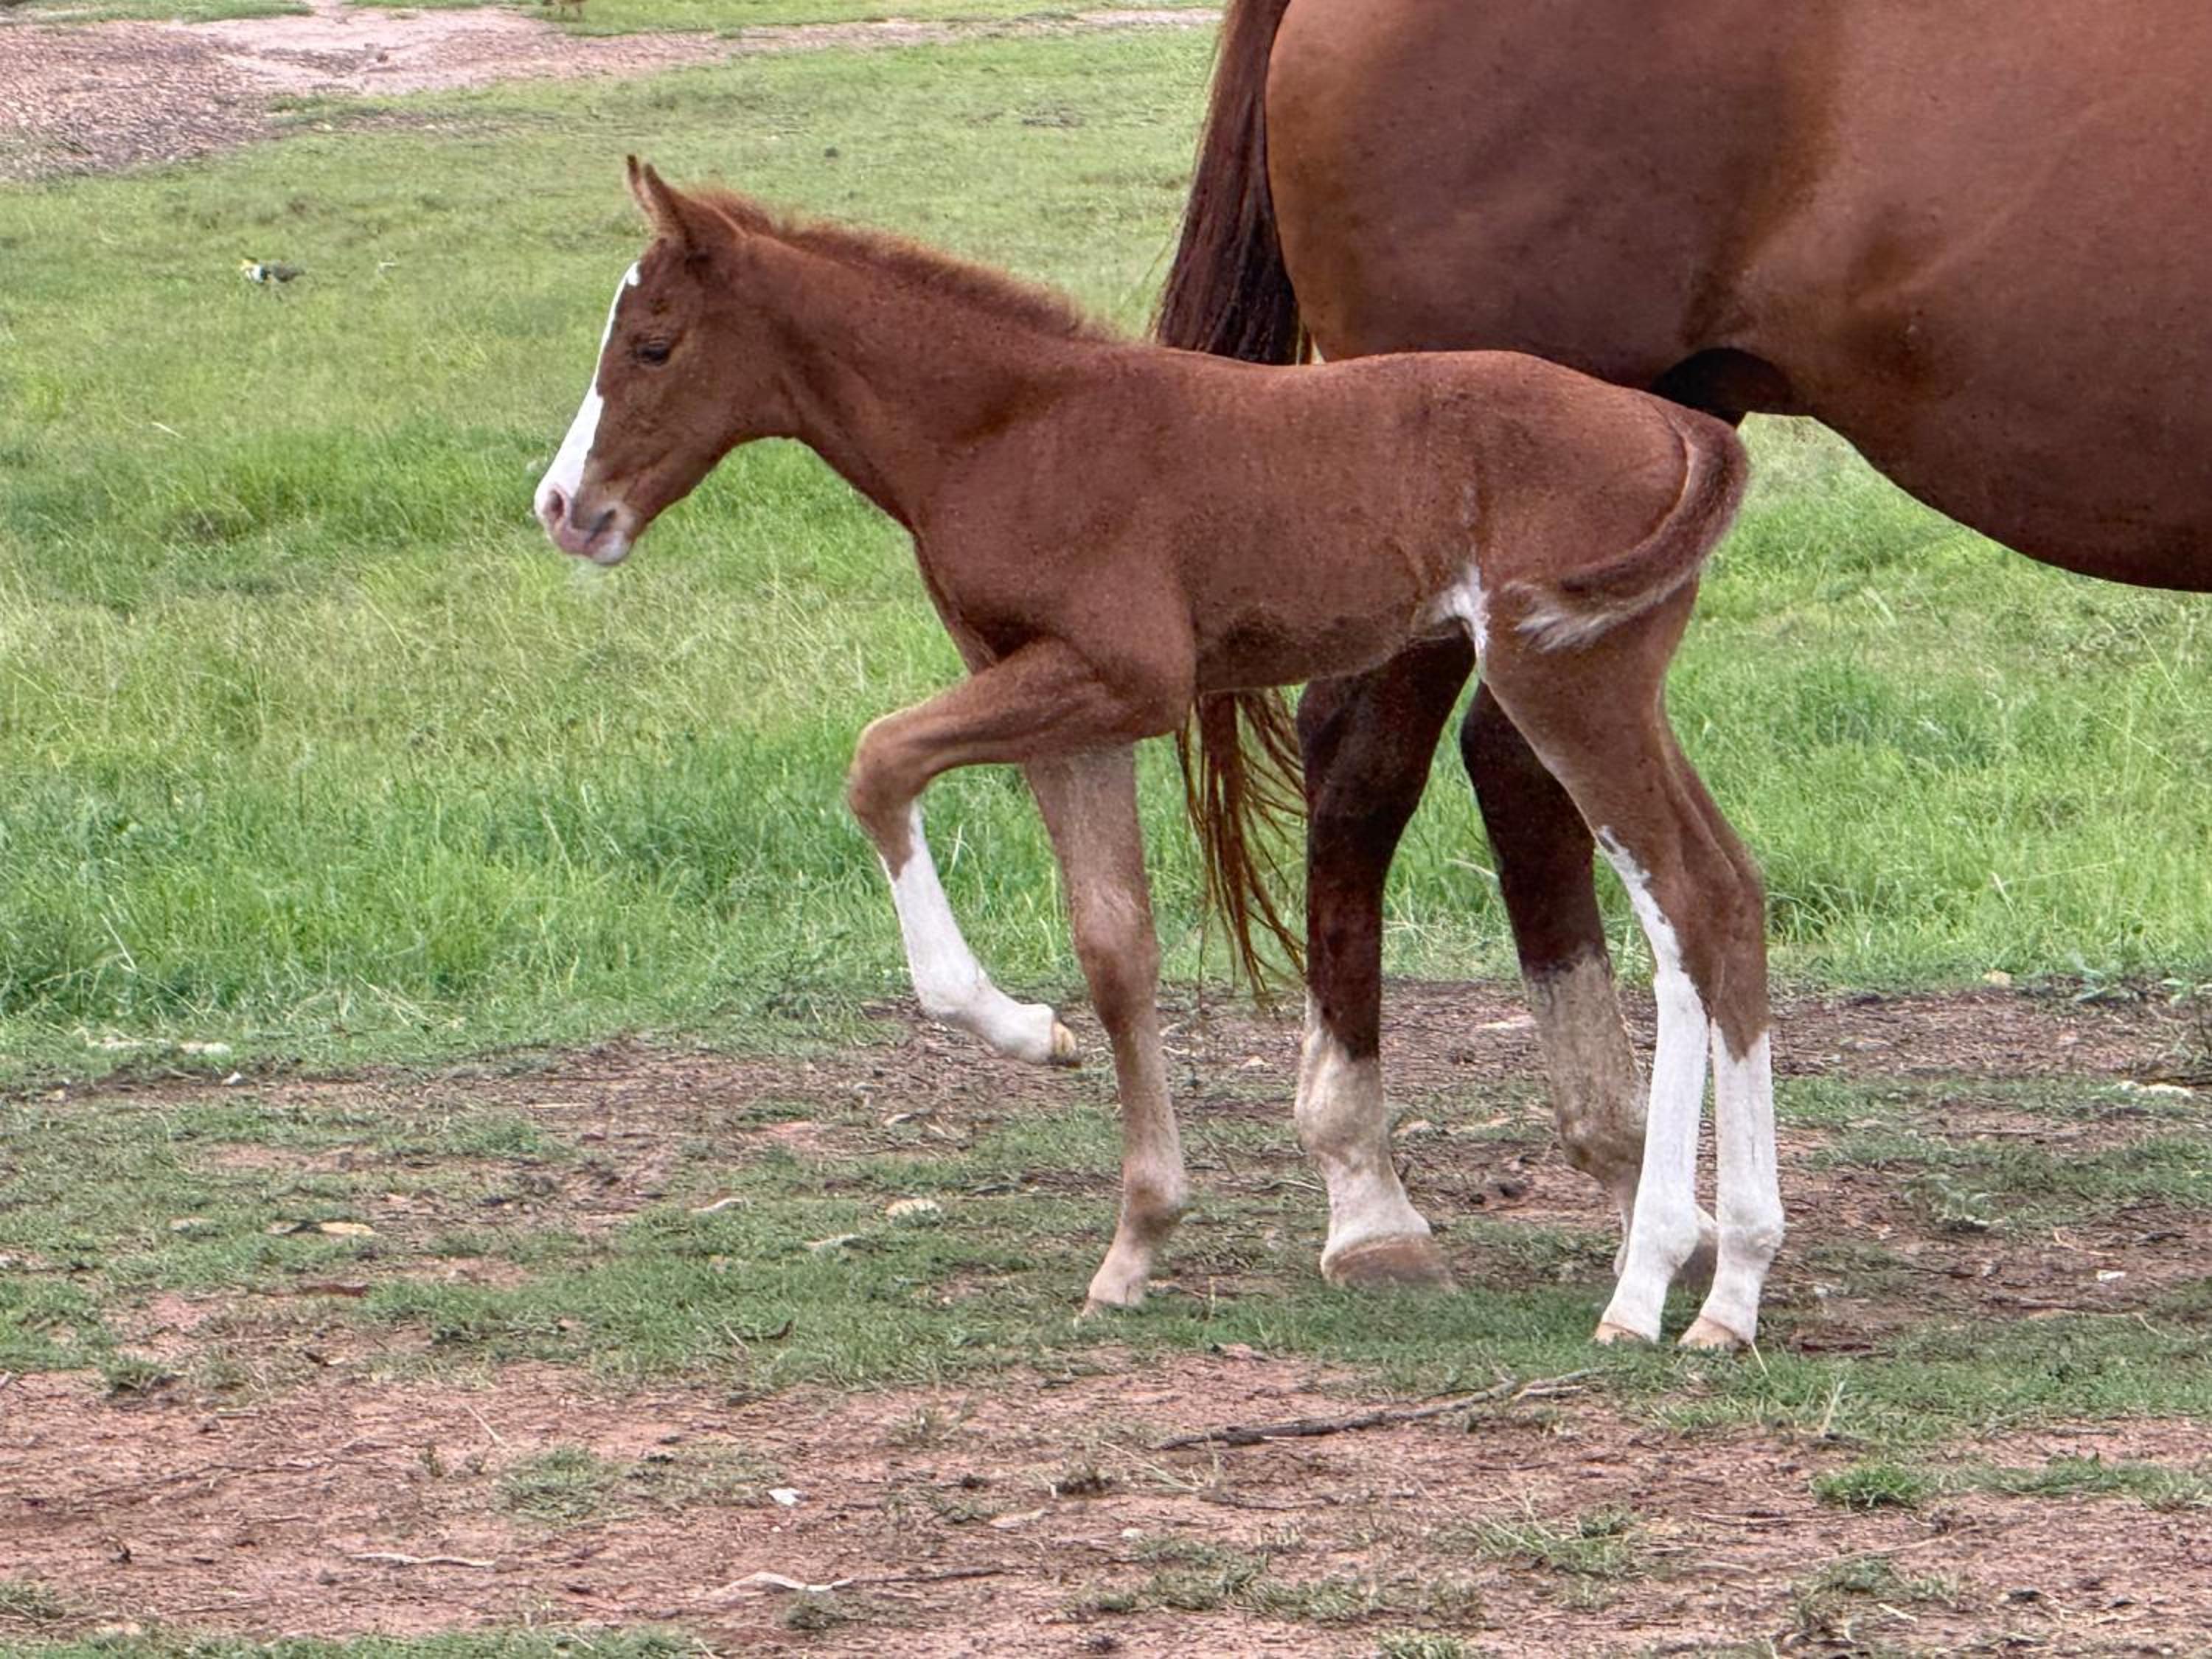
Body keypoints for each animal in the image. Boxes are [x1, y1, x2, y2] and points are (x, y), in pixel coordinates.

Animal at [534, 159, 1772, 1346]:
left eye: (653, 344)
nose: (563, 507)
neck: (1006, 426)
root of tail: (1681, 428)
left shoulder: (1125, 677)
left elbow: (879, 761)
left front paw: (1023, 1031)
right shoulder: (1064, 706)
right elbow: (1115, 946)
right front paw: (1135, 1241)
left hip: (1562, 677)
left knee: (1685, 902)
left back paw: (1656, 1280)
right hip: (1619, 681)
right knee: (1733, 889)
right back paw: (1736, 1275)